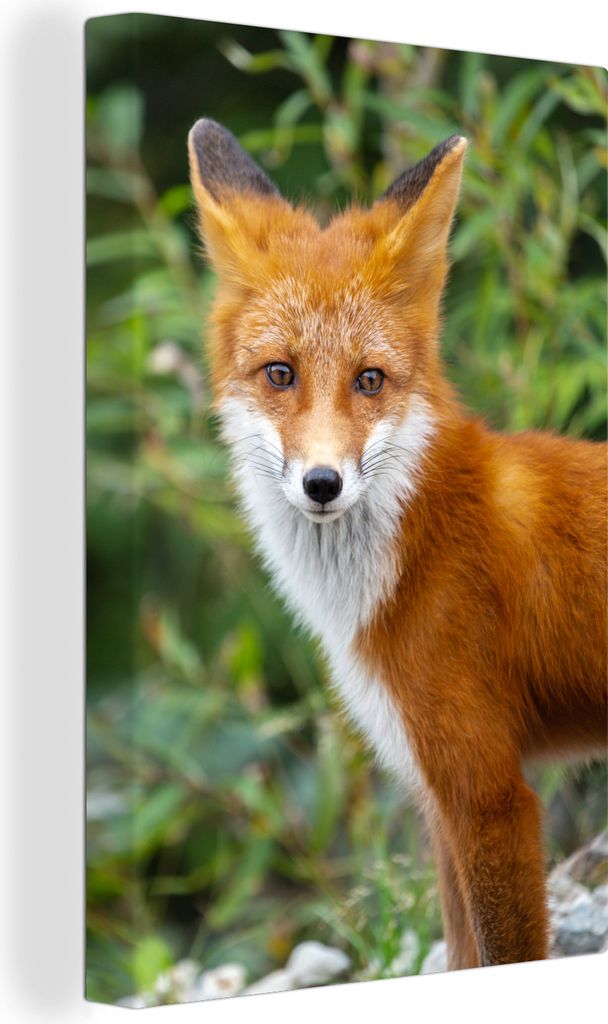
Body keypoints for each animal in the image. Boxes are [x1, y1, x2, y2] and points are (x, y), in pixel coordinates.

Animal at [188, 117, 607, 971]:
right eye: (280, 373)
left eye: (370, 379)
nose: (322, 483)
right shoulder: (439, 799)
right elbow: (461, 954)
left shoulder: (487, 793)